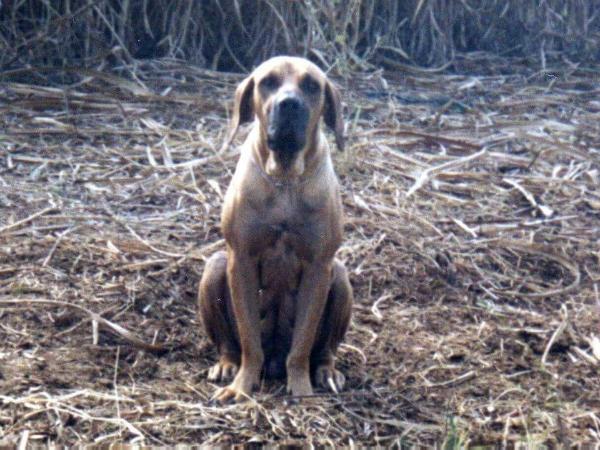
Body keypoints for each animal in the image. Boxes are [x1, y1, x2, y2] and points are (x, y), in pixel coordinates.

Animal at [199, 54, 354, 402]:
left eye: (311, 85)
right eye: (267, 82)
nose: (289, 104)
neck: (285, 179)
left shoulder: (318, 268)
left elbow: (301, 346)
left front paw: (302, 391)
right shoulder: (240, 261)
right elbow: (249, 341)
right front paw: (241, 387)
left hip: (339, 277)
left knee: (323, 349)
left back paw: (326, 371)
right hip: (214, 268)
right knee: (230, 344)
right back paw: (227, 365)